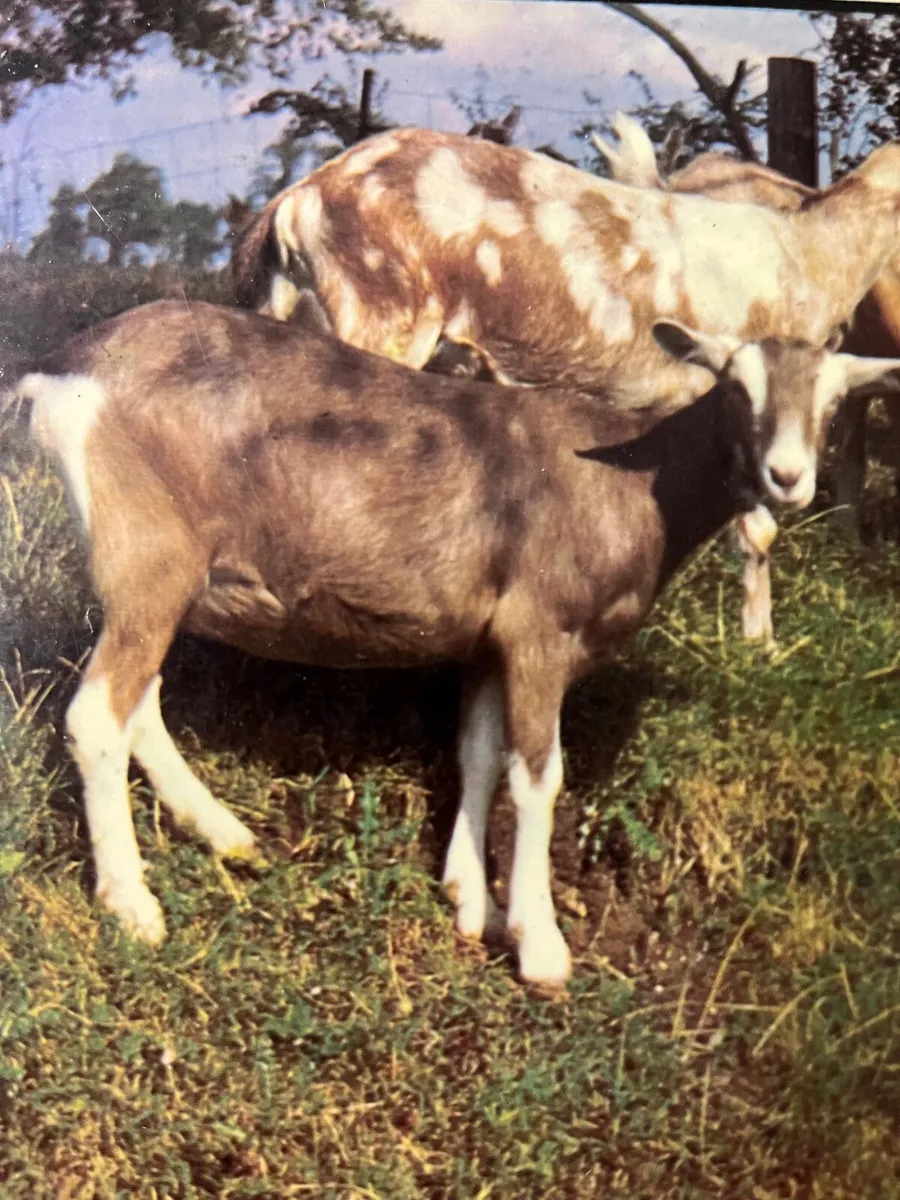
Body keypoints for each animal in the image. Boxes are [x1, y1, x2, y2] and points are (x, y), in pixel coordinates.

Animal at [14, 300, 900, 985]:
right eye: (736, 388)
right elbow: (537, 775)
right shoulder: (541, 631)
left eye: (830, 400)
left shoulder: (488, 643)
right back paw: (132, 904)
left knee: (141, 703)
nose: (789, 477)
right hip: (150, 561)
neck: (630, 478)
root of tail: (61, 370)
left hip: (163, 586)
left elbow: (476, 752)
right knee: (97, 716)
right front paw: (539, 946)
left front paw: (469, 900)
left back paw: (227, 836)